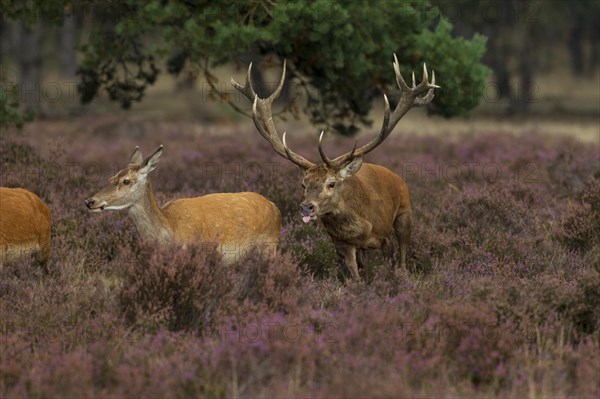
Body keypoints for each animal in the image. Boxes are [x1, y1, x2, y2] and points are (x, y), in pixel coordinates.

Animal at [85, 145, 282, 264]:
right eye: (111, 178)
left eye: (126, 181)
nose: (90, 201)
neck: (171, 228)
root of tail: (275, 207)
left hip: (269, 247)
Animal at [232, 54, 438, 280]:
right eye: (303, 184)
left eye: (331, 183)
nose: (306, 207)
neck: (362, 227)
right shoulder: (342, 244)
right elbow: (355, 276)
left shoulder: (385, 237)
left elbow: (394, 263)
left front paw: (395, 280)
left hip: (404, 213)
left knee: (403, 250)